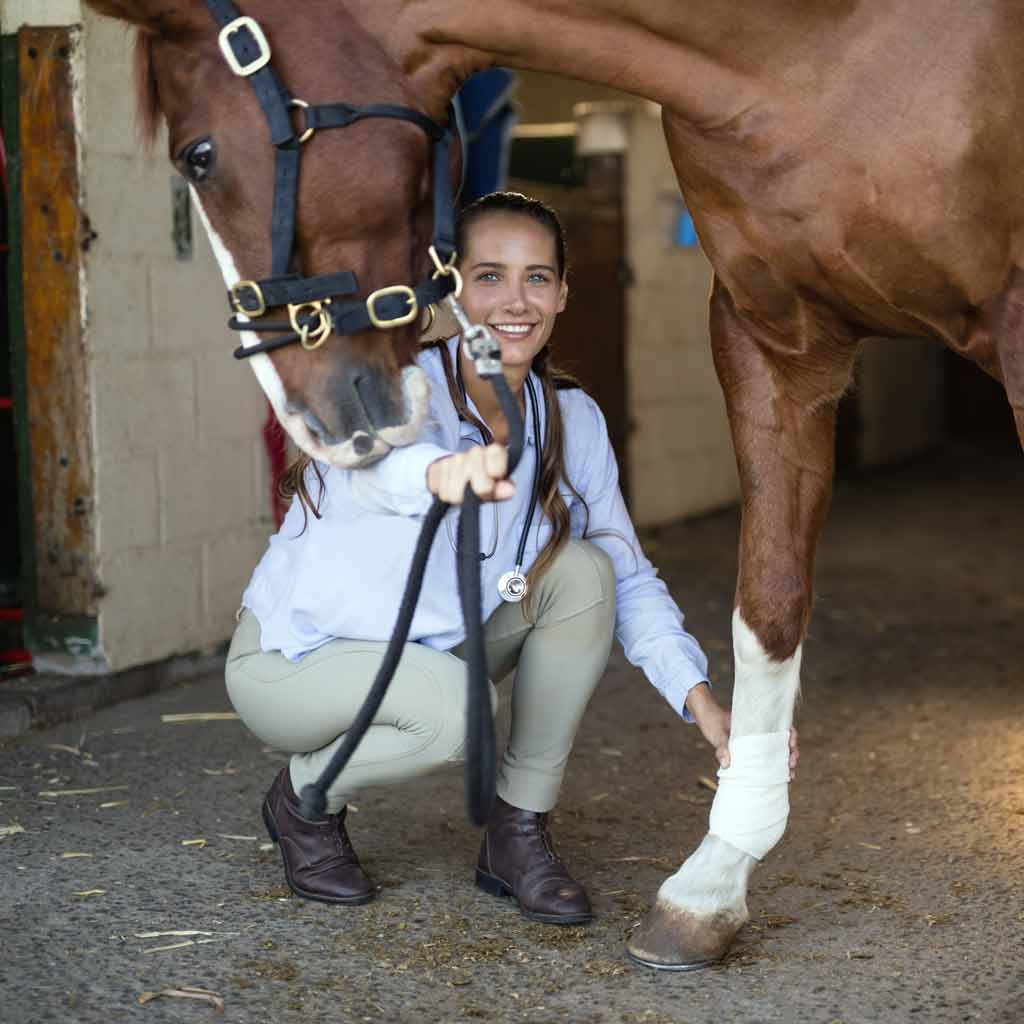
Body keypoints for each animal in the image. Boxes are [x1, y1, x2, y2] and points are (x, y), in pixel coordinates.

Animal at [86, 0, 1024, 970]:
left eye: (199, 154)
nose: (317, 418)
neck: (812, 55)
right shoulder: (770, 335)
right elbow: (767, 606)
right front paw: (710, 888)